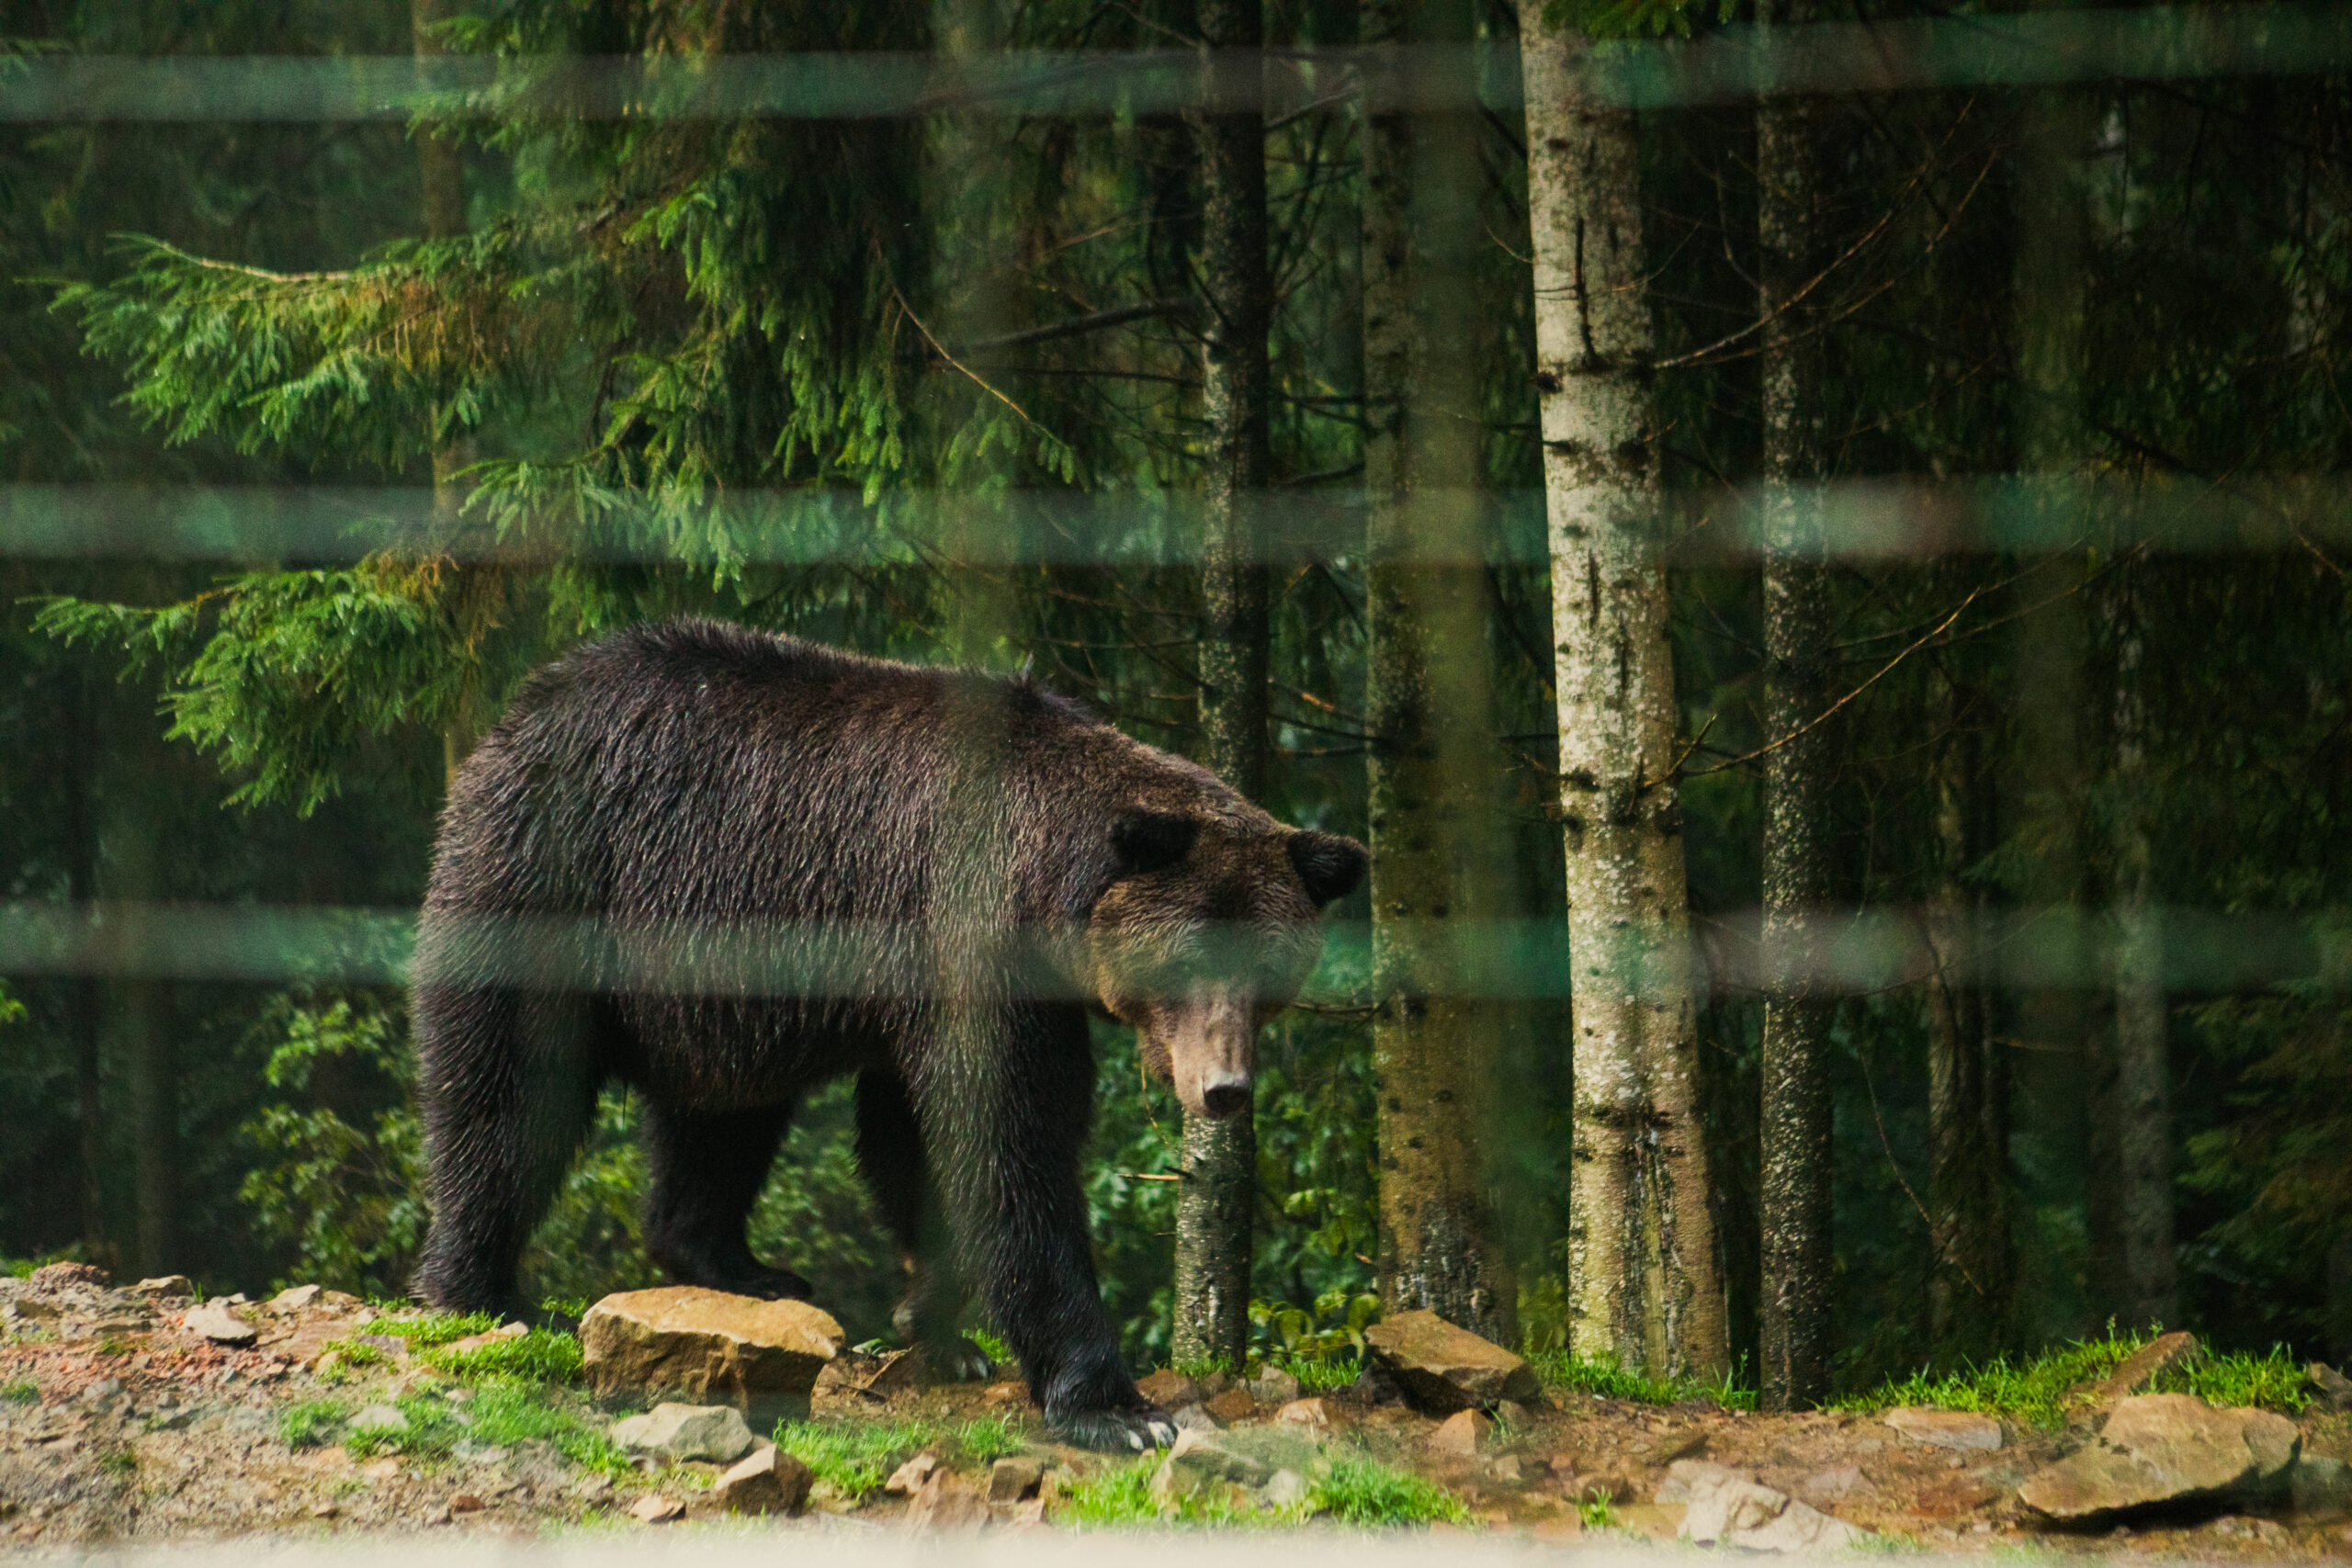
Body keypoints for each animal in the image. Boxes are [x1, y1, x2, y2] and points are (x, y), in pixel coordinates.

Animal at [404, 620, 1363, 1457]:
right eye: (1187, 956)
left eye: (1271, 970)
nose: (1224, 1087)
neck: (1047, 890)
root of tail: (523, 709)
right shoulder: (967, 942)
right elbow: (1010, 1144)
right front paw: (1115, 1406)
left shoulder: (949, 985)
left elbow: (921, 1142)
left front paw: (939, 1325)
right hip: (553, 888)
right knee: (506, 1096)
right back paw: (480, 1289)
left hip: (716, 981)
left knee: (723, 1117)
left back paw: (742, 1265)